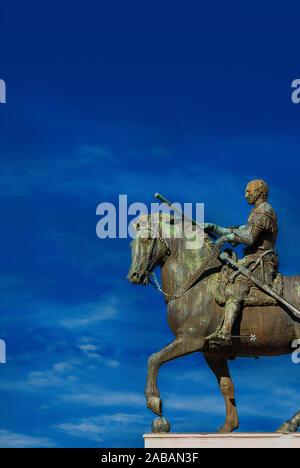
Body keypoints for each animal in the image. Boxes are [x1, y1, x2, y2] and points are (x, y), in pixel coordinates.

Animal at [127, 212, 300, 432]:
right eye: (131, 244)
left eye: (145, 239)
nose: (133, 276)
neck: (197, 284)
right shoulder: (212, 352)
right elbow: (226, 386)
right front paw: (228, 427)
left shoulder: (190, 339)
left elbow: (154, 359)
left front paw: (154, 400)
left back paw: (288, 425)